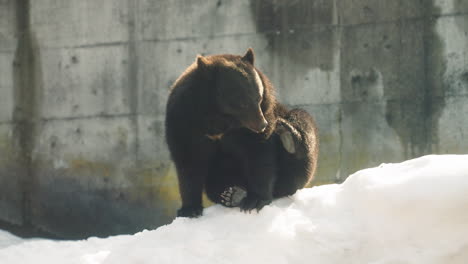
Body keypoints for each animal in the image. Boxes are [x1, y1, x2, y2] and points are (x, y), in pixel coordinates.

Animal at [165, 48, 318, 218]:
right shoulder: (185, 120)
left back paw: (288, 136)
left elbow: (258, 154)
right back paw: (231, 194)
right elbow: (189, 160)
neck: (220, 118)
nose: (262, 125)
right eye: (242, 103)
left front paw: (255, 200)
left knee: (302, 123)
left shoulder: (259, 119)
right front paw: (189, 209)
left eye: (259, 97)